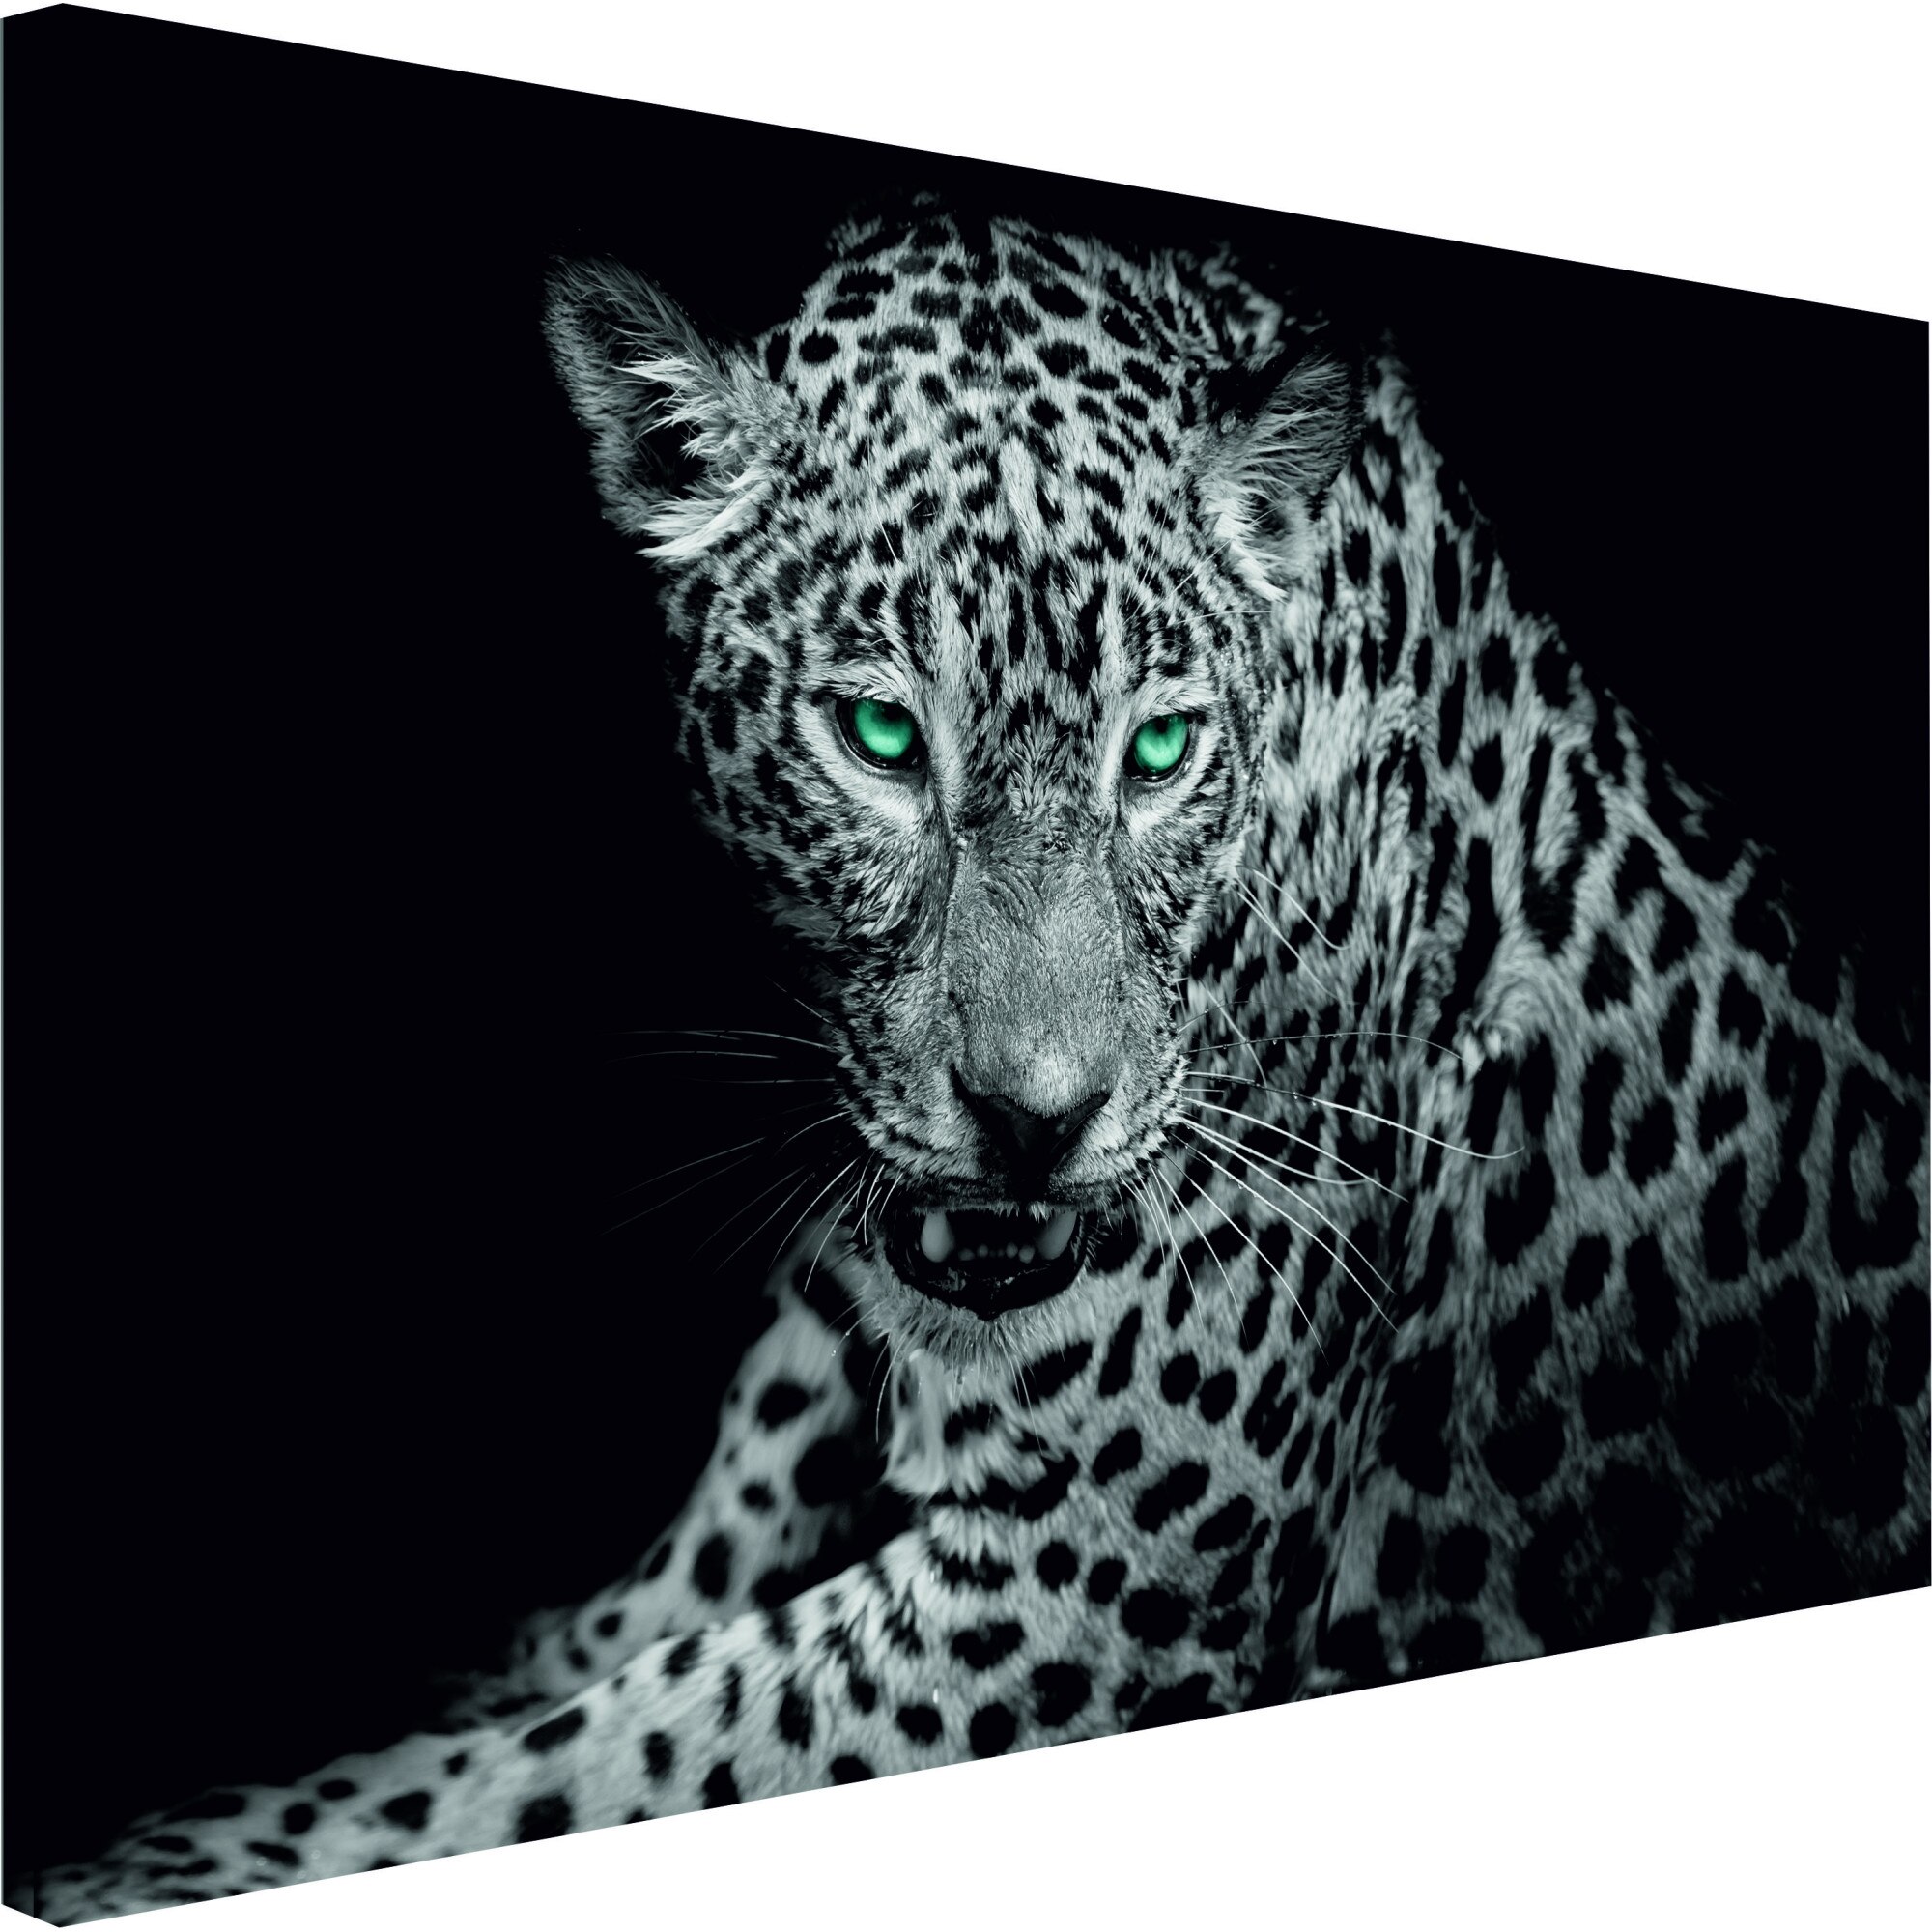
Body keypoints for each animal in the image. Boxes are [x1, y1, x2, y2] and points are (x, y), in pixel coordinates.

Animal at [17, 197, 1928, 1924]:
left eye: (1159, 753)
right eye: (879, 736)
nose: (1035, 1122)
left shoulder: (1087, 1584)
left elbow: (567, 1771)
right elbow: (562, 1680)